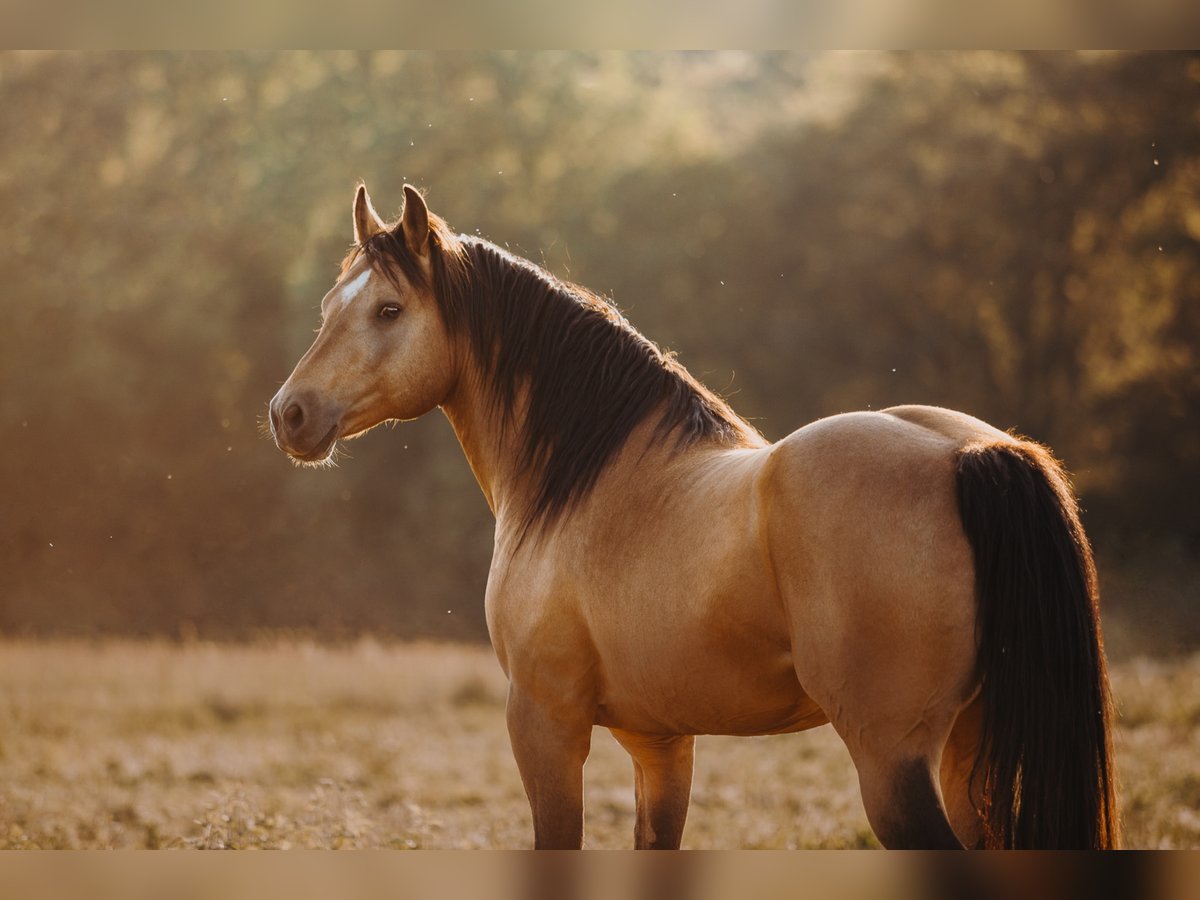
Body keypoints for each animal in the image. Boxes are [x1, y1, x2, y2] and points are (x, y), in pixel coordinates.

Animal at [267, 184, 1118, 854]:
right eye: (328, 307)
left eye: (388, 309)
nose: (289, 414)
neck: (587, 478)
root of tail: (969, 454)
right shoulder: (661, 743)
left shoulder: (545, 725)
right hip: (971, 751)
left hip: (893, 764)